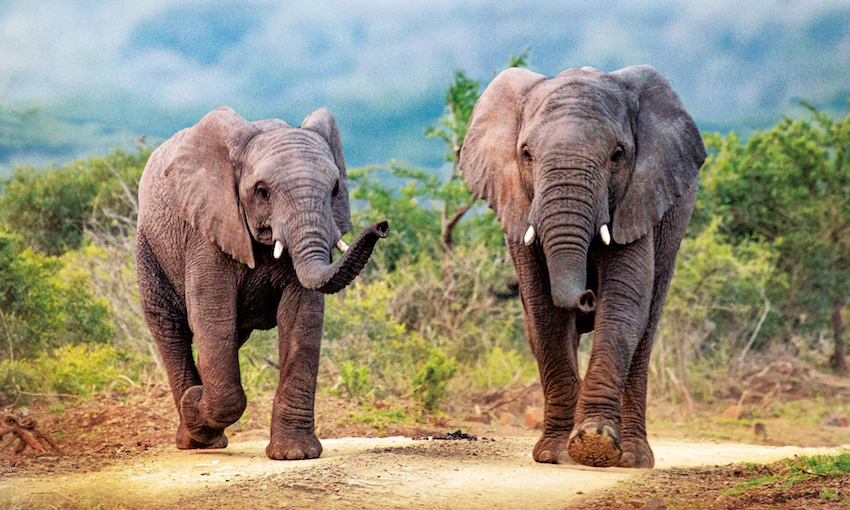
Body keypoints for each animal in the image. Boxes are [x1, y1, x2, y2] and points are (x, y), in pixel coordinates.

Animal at [136, 105, 388, 460]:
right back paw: (195, 436)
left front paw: (295, 455)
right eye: (262, 191)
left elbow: (302, 319)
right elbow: (213, 318)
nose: (382, 225)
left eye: (335, 190)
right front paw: (195, 402)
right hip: (149, 247)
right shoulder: (206, 232)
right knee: (171, 329)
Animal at [460, 65, 704, 468]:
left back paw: (633, 458)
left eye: (618, 155)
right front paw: (556, 453)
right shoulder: (518, 202)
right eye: (526, 154)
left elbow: (623, 302)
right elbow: (543, 310)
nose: (588, 295)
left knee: (646, 329)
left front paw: (595, 444)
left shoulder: (638, 198)